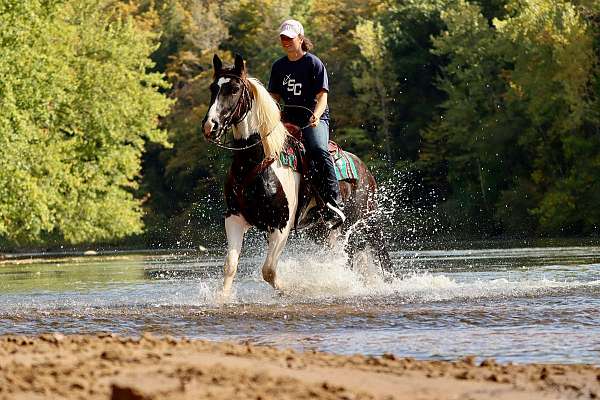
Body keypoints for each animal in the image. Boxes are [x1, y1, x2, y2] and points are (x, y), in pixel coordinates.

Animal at [204, 53, 396, 298]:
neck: (256, 161)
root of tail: (363, 169)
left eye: (235, 89)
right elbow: (230, 266)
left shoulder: (281, 225)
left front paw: (293, 290)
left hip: (366, 221)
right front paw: (222, 299)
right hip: (323, 231)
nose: (210, 126)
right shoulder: (235, 218)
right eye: (213, 88)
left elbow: (269, 270)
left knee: (381, 255)